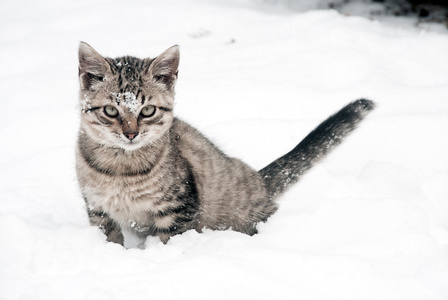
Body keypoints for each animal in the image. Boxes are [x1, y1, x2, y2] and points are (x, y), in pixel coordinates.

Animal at [76, 41, 374, 246]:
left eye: (147, 111)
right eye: (111, 111)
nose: (131, 134)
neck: (120, 169)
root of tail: (261, 181)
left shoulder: (178, 210)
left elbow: (169, 241)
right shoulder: (97, 209)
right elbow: (110, 238)